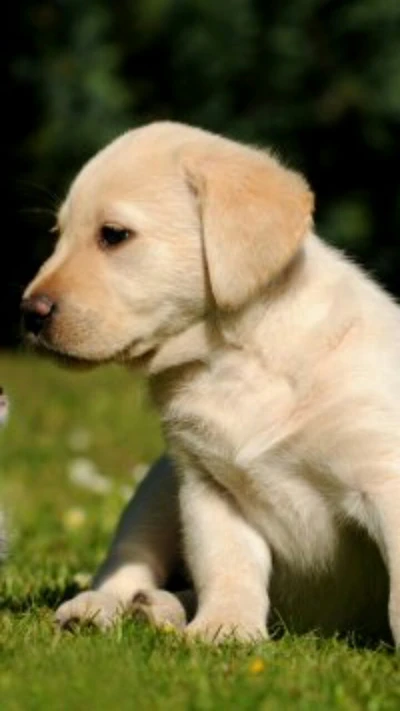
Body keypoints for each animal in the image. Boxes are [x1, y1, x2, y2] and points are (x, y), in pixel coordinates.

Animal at [22, 122, 400, 644]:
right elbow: (227, 566)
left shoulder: (383, 475)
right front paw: (225, 630)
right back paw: (111, 607)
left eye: (113, 236)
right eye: (58, 236)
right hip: (156, 490)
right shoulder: (208, 488)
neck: (234, 360)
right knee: (126, 565)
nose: (28, 313)